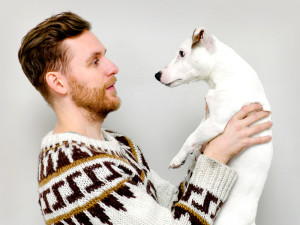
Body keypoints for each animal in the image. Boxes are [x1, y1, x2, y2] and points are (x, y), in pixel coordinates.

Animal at [156, 28, 274, 225]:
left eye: (182, 53)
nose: (157, 75)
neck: (223, 76)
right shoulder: (208, 118)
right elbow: (196, 136)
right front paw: (194, 153)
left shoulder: (216, 123)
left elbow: (191, 137)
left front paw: (178, 158)